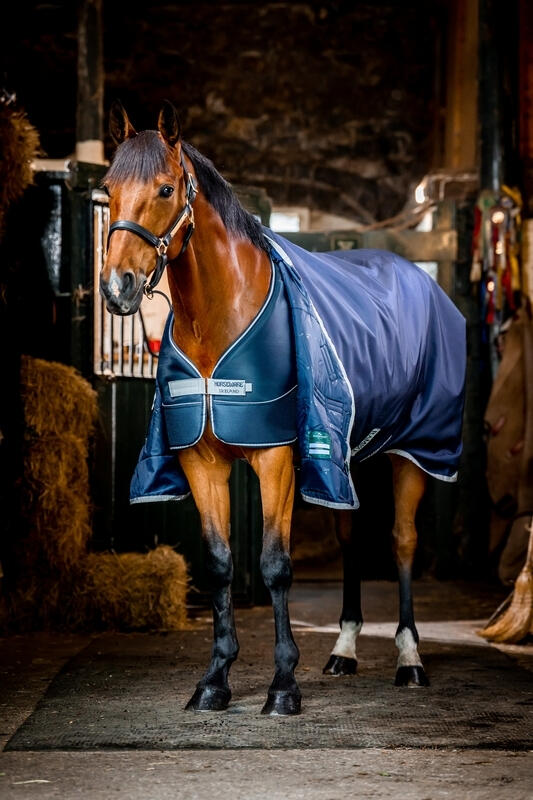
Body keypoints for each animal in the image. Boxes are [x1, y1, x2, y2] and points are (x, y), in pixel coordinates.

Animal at [100, 100, 466, 716]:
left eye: (166, 189)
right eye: (107, 189)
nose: (116, 287)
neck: (219, 320)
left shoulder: (274, 459)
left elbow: (275, 565)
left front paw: (283, 686)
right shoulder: (202, 463)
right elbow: (220, 564)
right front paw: (215, 680)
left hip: (413, 453)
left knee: (402, 541)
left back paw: (409, 658)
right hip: (345, 461)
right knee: (352, 539)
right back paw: (343, 650)